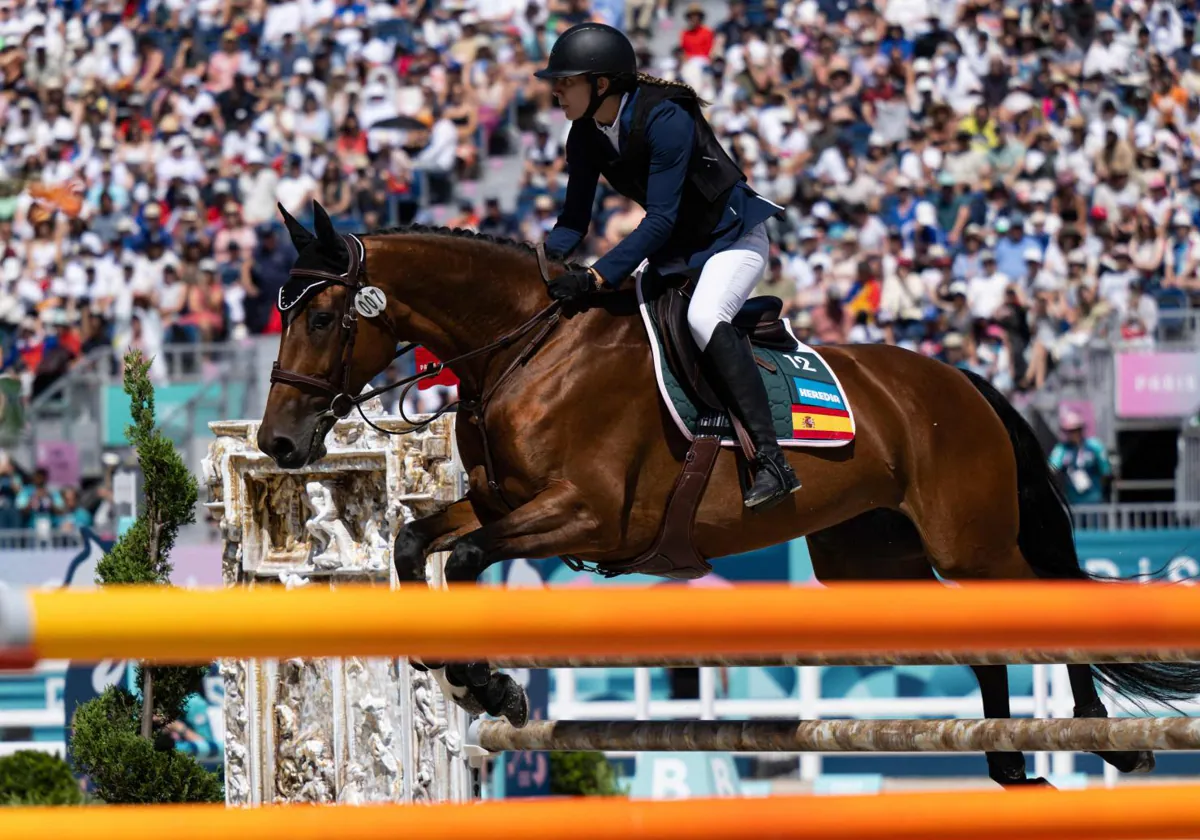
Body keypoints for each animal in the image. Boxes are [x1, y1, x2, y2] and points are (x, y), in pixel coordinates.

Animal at [255, 204, 1200, 787]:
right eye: (281, 314)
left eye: (325, 319)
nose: (279, 444)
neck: (524, 349)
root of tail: (960, 381)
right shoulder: (499, 502)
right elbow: (418, 543)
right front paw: (459, 673)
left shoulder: (586, 513)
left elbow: (470, 559)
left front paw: (489, 687)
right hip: (874, 559)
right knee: (980, 638)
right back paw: (1007, 762)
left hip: (973, 543)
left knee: (1044, 605)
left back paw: (1106, 740)